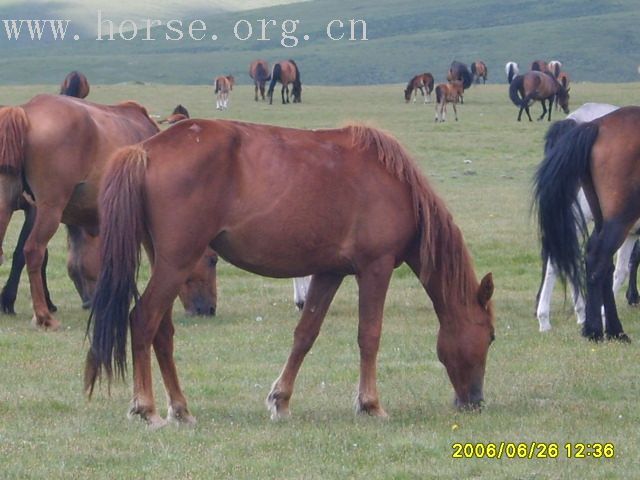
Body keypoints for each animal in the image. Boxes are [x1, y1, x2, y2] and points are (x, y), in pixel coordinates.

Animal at [0, 93, 218, 330]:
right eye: (213, 260)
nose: (209, 310)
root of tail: (24, 112)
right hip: (49, 209)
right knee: (33, 251)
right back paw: (42, 315)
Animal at [85, 120, 496, 428]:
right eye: (491, 336)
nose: (475, 401)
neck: (395, 183)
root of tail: (145, 151)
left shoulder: (329, 272)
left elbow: (305, 334)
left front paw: (280, 400)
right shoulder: (375, 268)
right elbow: (369, 335)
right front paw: (370, 404)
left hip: (169, 264)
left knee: (163, 332)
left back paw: (181, 408)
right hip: (177, 263)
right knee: (143, 320)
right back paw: (147, 408)